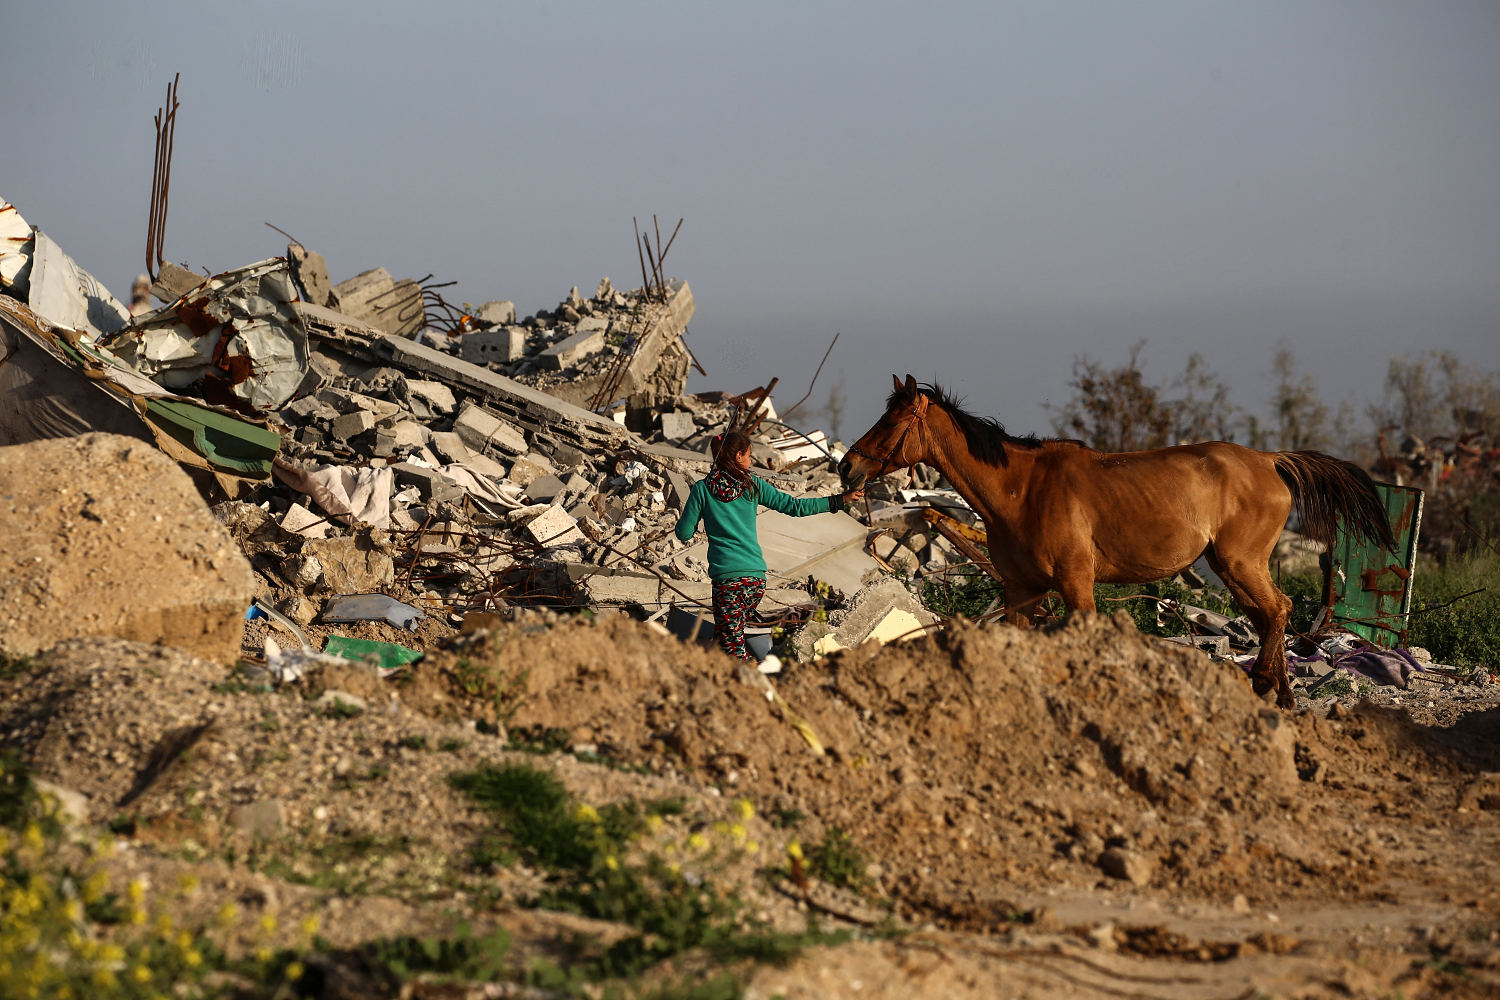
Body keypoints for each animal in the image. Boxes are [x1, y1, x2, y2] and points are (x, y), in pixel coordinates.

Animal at [846, 377, 1392, 710]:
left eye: (891, 423)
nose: (847, 466)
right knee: (1268, 615)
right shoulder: (1021, 591)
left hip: (1240, 562)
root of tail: (1269, 460)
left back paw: (1268, 686)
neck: (1022, 490)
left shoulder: (1075, 586)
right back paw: (1278, 691)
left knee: (1277, 610)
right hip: (1229, 564)